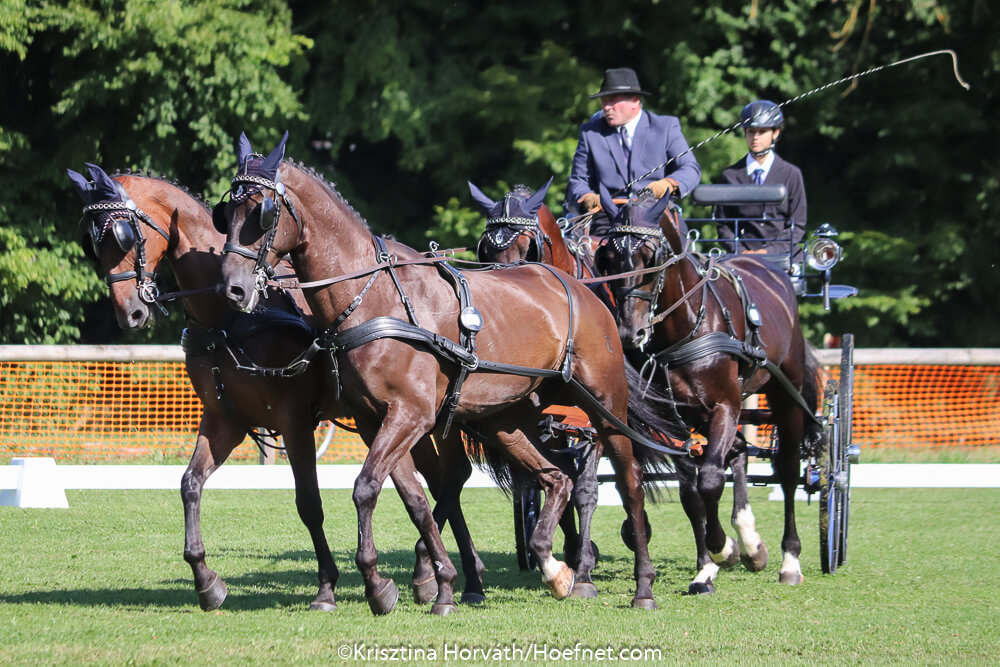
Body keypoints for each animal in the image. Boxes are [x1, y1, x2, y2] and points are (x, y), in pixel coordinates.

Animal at [66, 163, 487, 612]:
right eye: (92, 242)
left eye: (123, 234)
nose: (130, 312)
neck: (227, 320)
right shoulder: (223, 422)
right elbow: (190, 484)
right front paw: (206, 579)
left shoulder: (294, 420)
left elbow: (309, 504)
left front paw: (327, 587)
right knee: (444, 482)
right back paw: (459, 575)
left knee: (449, 479)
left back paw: (442, 572)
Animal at [218, 132, 680, 613]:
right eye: (226, 212)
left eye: (261, 212)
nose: (232, 287)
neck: (373, 295)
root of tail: (586, 292)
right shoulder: (374, 421)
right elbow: (414, 497)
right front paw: (430, 583)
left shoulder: (411, 415)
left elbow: (367, 487)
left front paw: (383, 582)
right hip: (505, 420)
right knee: (556, 479)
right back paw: (554, 568)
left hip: (605, 410)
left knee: (628, 483)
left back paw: (641, 585)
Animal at [593, 188, 824, 594]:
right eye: (607, 257)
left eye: (651, 255)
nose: (629, 333)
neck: (687, 324)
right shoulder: (676, 419)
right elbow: (691, 491)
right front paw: (707, 567)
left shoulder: (726, 405)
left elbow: (711, 479)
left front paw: (721, 548)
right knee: (738, 450)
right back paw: (750, 542)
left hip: (786, 398)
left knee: (787, 471)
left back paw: (789, 560)